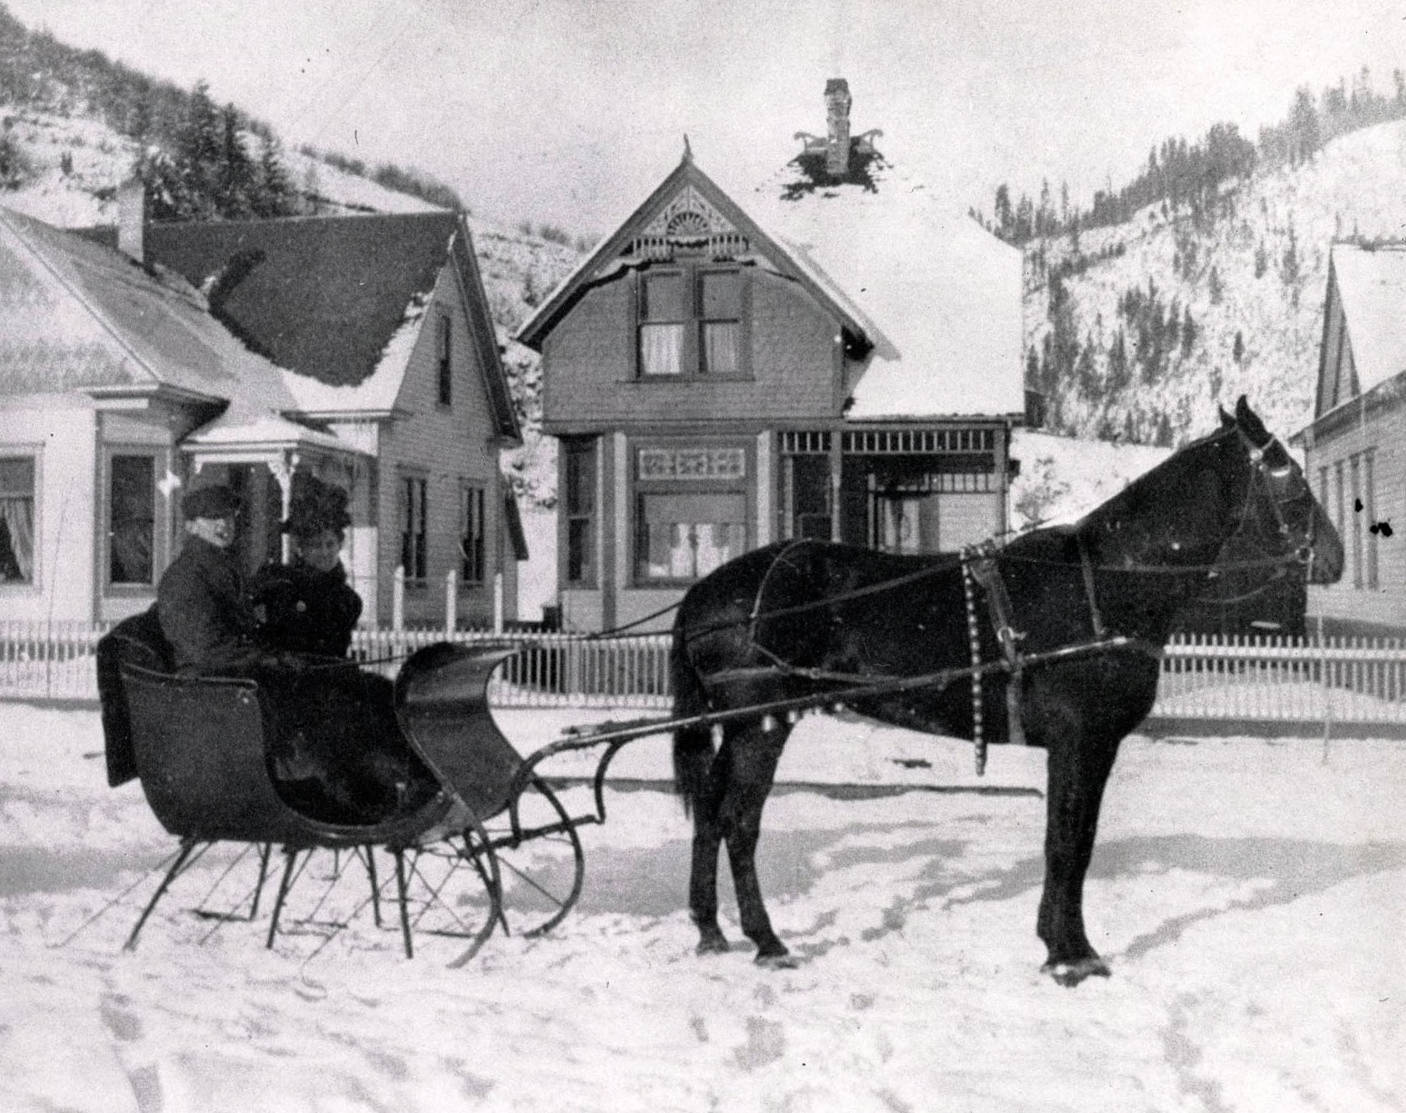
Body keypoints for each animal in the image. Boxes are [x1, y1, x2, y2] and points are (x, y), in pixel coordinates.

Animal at [669, 397, 1344, 984]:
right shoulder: (1080, 741)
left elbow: (1075, 841)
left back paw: (710, 930)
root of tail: (706, 592)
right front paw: (1070, 955)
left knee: (710, 811)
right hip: (762, 723)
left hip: (738, 724)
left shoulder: (1089, 747)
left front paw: (1062, 944)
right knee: (739, 821)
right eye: (1287, 474)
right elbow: (1067, 844)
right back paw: (767, 940)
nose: (1335, 557)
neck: (1103, 585)